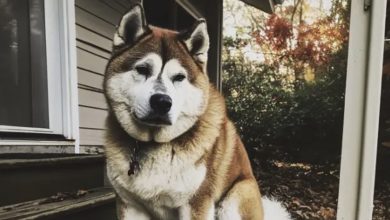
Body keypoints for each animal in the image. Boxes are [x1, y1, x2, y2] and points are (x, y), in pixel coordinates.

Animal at [102, 3, 290, 220]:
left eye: (179, 77)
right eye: (142, 69)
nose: (162, 102)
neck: (154, 145)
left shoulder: (196, 203)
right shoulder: (130, 205)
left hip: (233, 199)